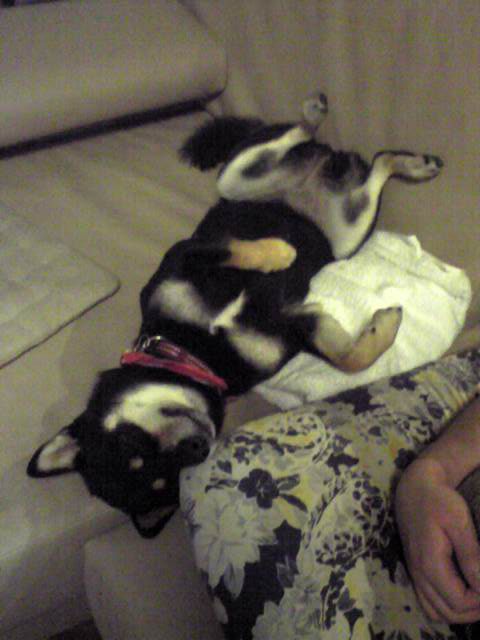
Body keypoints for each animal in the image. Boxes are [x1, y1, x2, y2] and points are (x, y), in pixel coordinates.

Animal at [27, 94, 443, 537]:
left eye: (129, 443)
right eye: (167, 478)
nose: (197, 445)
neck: (195, 352)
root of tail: (313, 176)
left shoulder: (185, 255)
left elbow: (234, 249)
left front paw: (278, 253)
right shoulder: (297, 327)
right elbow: (349, 358)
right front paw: (385, 325)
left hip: (238, 180)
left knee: (296, 139)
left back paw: (321, 117)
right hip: (346, 232)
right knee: (376, 167)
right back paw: (411, 164)